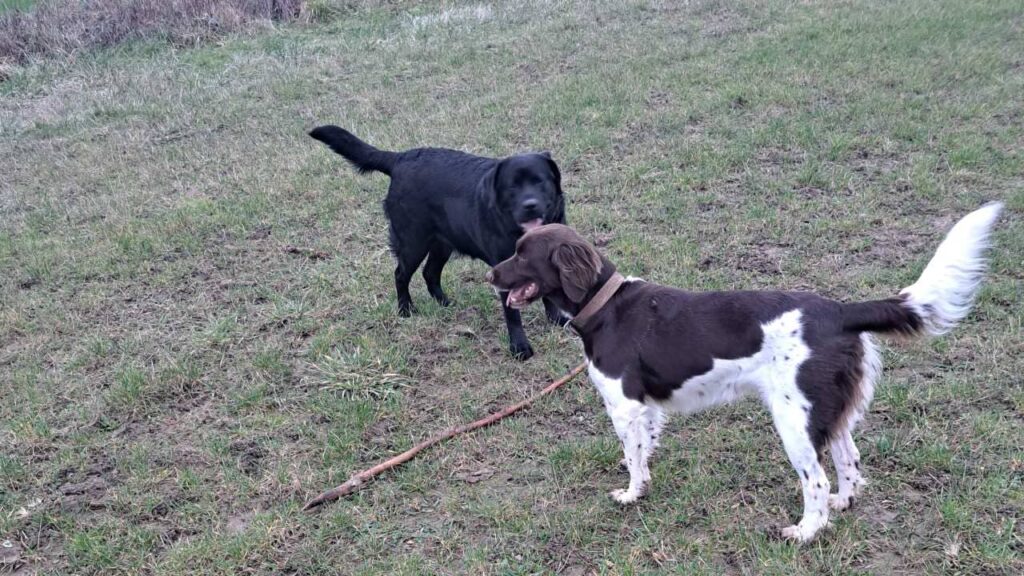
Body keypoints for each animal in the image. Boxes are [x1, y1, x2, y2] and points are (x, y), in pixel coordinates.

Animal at [311, 124, 569, 358]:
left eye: (540, 181)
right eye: (512, 186)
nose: (530, 205)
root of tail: (400, 159)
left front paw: (556, 320)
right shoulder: (503, 271)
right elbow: (512, 315)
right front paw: (519, 347)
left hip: (442, 244)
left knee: (430, 272)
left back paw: (444, 302)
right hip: (413, 242)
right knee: (400, 274)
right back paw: (406, 309)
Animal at [485, 203, 999, 541]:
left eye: (523, 254)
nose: (490, 275)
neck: (605, 305)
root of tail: (839, 311)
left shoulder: (624, 406)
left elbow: (632, 457)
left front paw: (630, 495)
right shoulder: (647, 410)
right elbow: (645, 453)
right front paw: (643, 487)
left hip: (793, 421)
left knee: (816, 480)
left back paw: (805, 532)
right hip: (829, 413)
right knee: (850, 463)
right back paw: (843, 503)